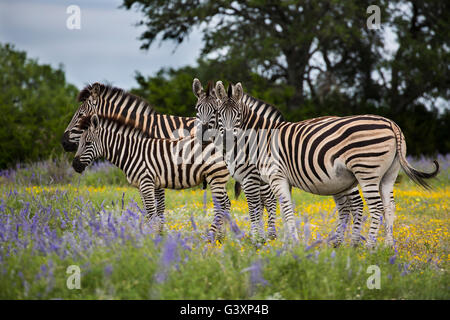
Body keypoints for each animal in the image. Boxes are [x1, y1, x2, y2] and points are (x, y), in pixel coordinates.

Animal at [73, 114, 232, 239]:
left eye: (88, 143)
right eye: (79, 143)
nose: (74, 166)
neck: (131, 152)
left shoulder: (146, 182)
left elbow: (151, 210)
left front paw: (152, 237)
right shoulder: (140, 185)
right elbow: (148, 212)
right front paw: (149, 237)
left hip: (216, 177)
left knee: (220, 207)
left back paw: (210, 238)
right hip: (219, 179)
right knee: (226, 205)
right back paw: (221, 238)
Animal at [193, 81, 366, 246]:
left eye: (214, 111)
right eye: (197, 110)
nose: (202, 135)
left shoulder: (254, 177)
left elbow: (262, 204)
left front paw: (265, 237)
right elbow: (267, 205)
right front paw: (271, 238)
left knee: (356, 204)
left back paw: (353, 242)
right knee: (345, 206)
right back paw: (341, 242)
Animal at [214, 82, 440, 248]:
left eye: (238, 116)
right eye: (219, 117)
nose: (226, 140)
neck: (261, 138)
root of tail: (392, 124)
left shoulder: (274, 176)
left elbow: (280, 207)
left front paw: (288, 243)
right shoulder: (278, 179)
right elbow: (282, 208)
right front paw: (284, 243)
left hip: (367, 172)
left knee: (375, 207)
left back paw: (368, 248)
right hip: (389, 175)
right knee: (389, 206)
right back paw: (387, 247)